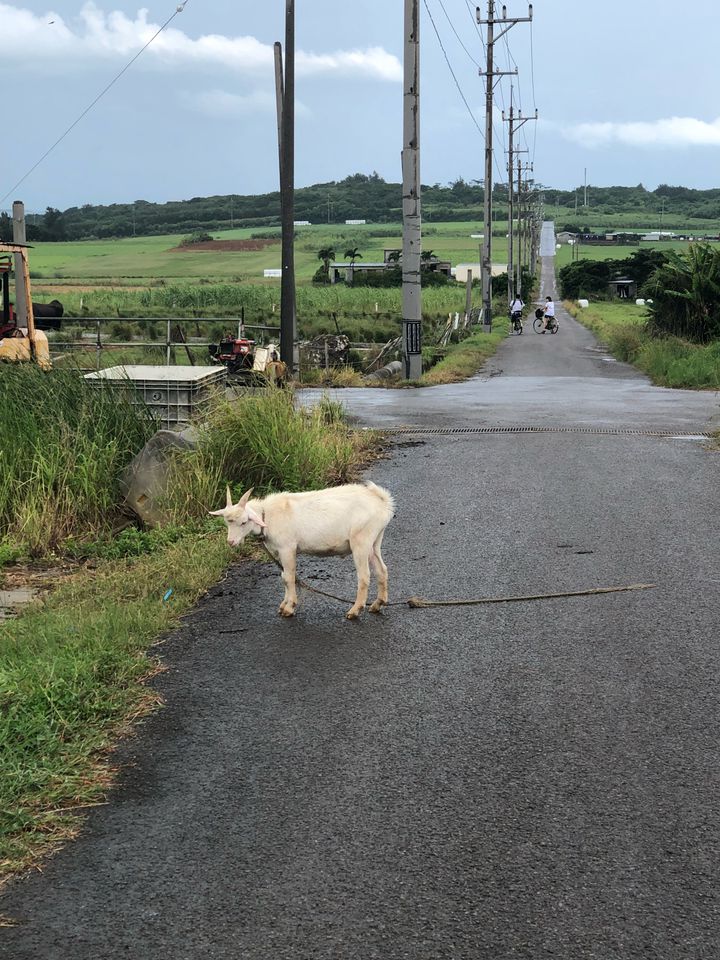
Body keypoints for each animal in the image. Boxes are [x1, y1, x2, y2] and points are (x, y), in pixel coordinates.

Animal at [211, 480, 396, 624]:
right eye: (227, 523)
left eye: (244, 522)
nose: (231, 542)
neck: (267, 516)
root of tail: (382, 502)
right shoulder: (280, 552)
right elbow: (284, 576)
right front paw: (283, 605)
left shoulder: (287, 548)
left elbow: (289, 577)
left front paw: (289, 608)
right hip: (374, 540)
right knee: (382, 569)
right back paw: (377, 604)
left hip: (361, 541)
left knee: (364, 576)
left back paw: (355, 610)